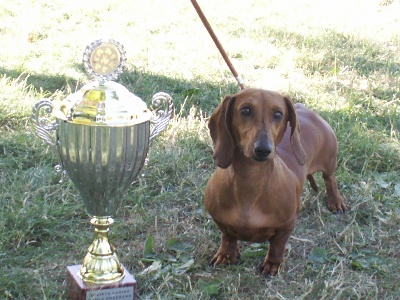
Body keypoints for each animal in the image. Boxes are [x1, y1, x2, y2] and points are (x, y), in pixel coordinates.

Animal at [203, 88, 346, 276]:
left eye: (278, 114)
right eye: (245, 110)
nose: (263, 149)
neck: (250, 181)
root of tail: (306, 109)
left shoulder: (288, 224)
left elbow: (277, 244)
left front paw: (272, 264)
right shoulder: (219, 219)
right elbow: (228, 237)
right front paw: (226, 255)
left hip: (329, 162)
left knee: (330, 179)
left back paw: (335, 201)